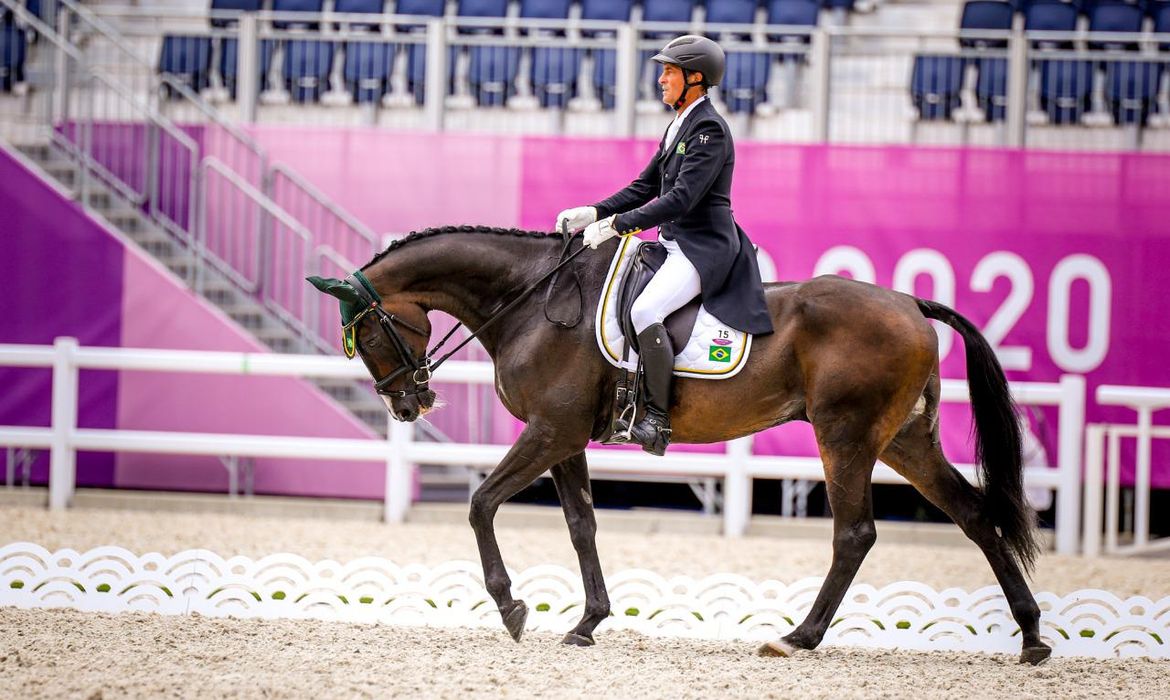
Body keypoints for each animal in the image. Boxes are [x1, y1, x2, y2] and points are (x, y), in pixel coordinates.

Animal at [306, 224, 1048, 664]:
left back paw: (799, 637)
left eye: (364, 333)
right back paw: (1034, 638)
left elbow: (481, 503)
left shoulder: (548, 430)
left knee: (856, 533)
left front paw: (512, 607)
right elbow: (581, 525)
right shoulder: (565, 438)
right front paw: (587, 622)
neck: (531, 300)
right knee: (976, 516)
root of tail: (909, 303)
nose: (409, 404)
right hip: (905, 442)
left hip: (846, 435)